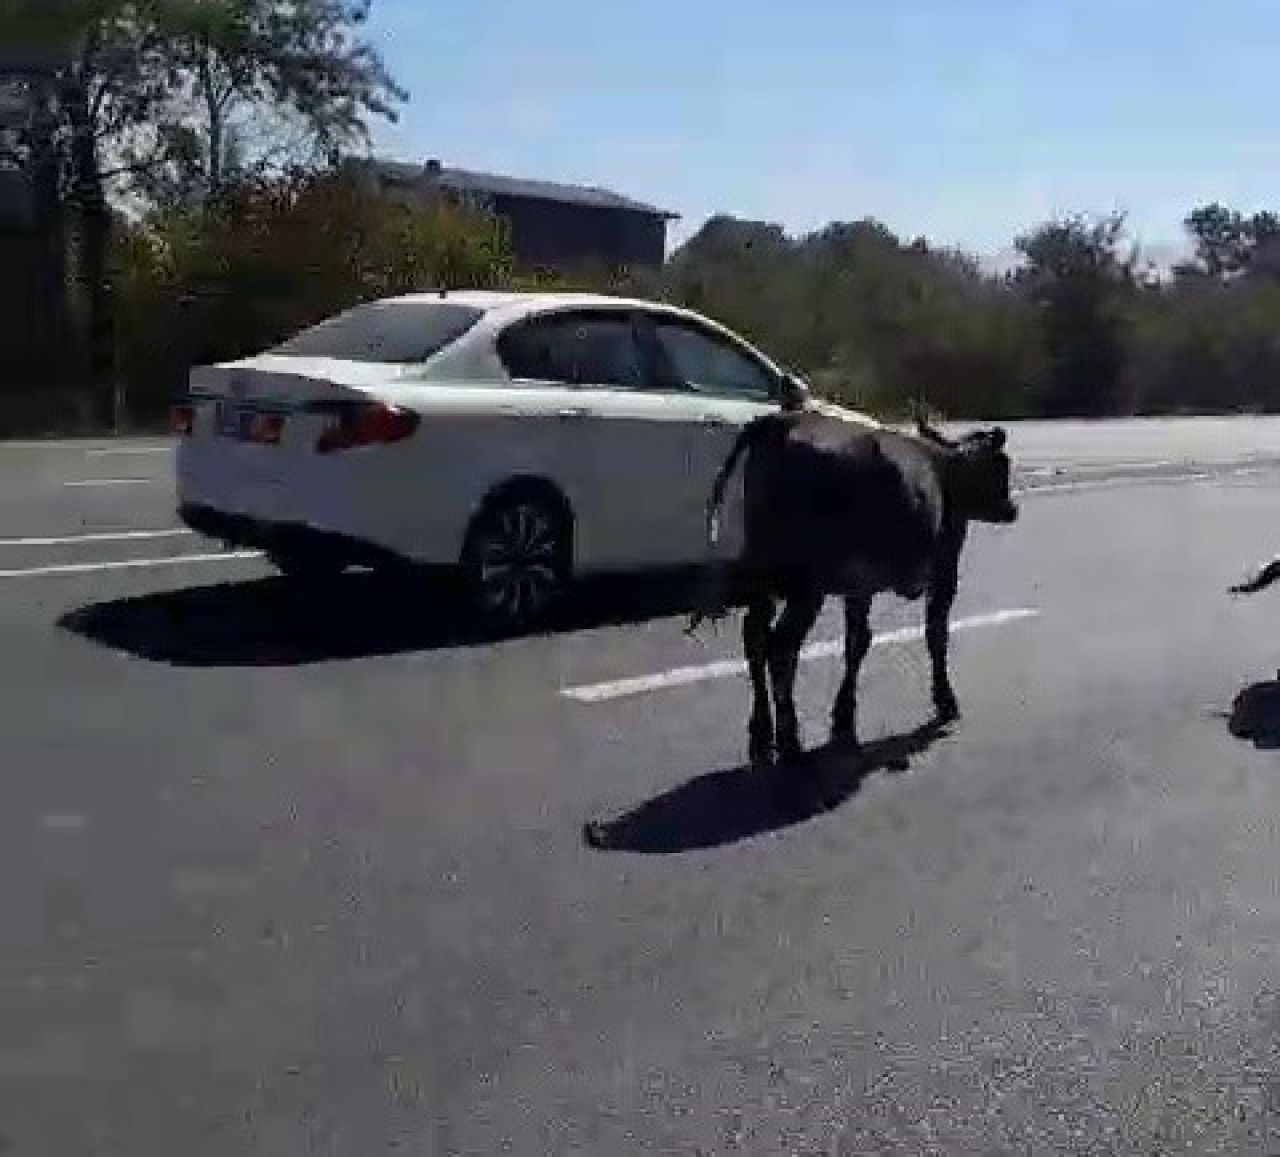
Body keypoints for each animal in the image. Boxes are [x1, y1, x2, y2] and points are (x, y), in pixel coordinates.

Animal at [691, 412, 1018, 762]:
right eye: (1001, 465)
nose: (1012, 509)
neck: (948, 470)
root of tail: (779, 420)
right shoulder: (945, 573)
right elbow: (936, 636)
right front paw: (946, 701)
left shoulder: (860, 588)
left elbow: (856, 642)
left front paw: (843, 717)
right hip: (807, 586)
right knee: (780, 647)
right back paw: (790, 740)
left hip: (762, 574)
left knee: (754, 636)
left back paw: (762, 734)